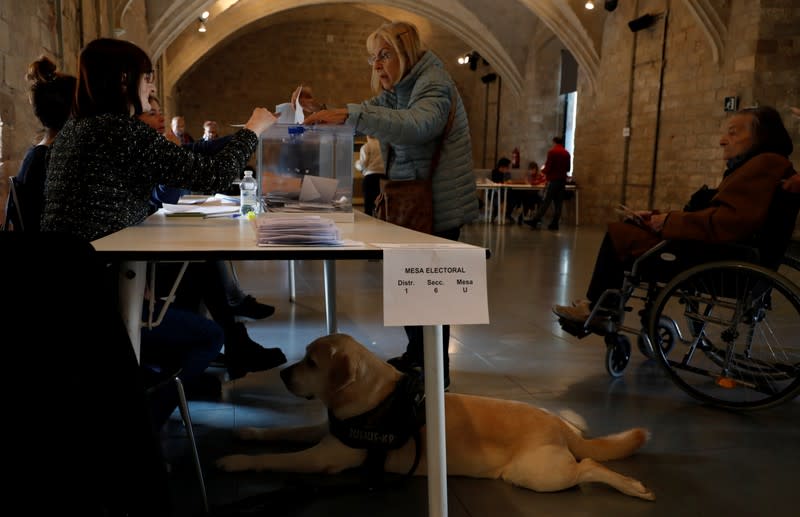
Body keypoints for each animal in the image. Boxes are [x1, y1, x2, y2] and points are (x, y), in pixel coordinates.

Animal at [216, 332, 652, 498]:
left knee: (590, 465)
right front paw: (249, 433)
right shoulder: (328, 434)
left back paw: (633, 487)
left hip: (536, 474)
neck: (372, 396)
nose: (283, 373)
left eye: (310, 362)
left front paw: (235, 461)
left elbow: (275, 459)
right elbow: (281, 433)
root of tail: (559, 424)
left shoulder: (326, 456)